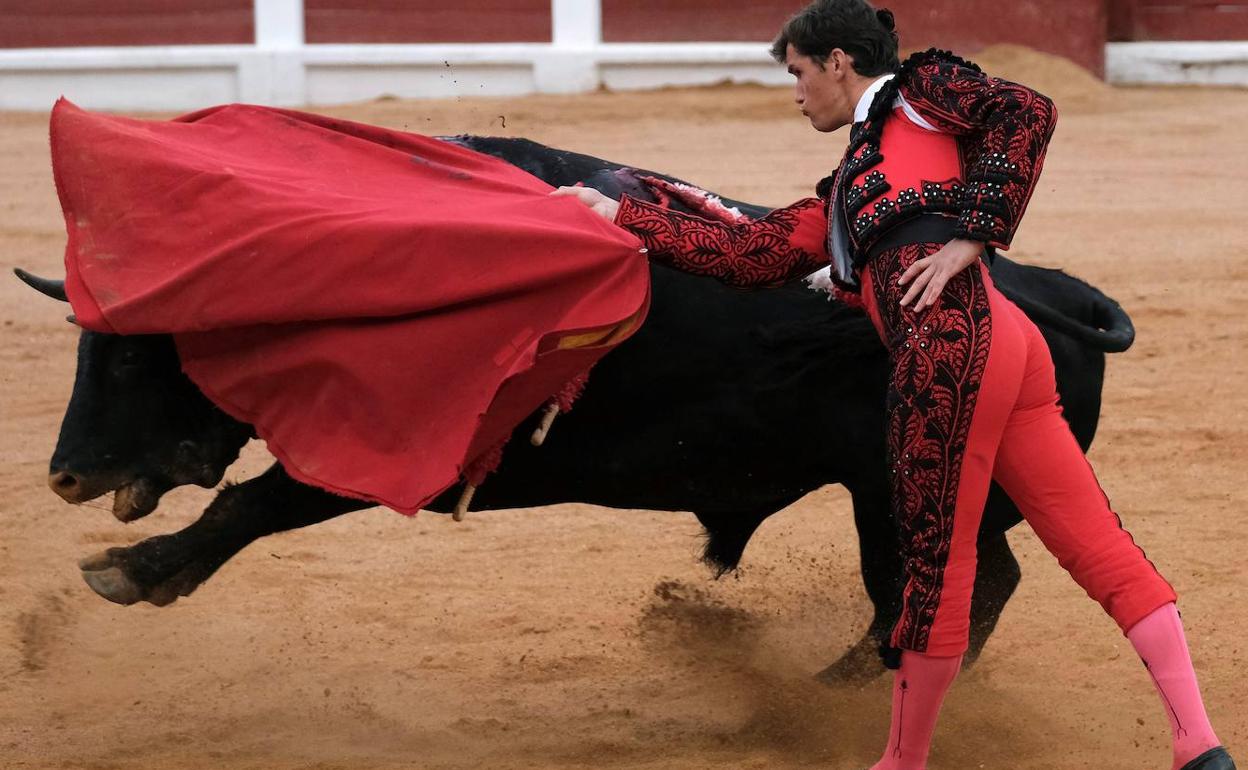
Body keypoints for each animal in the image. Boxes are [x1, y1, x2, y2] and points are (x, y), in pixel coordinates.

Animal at [14, 136, 1138, 678]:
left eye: (134, 354)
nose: (63, 475)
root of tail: (1058, 292)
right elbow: (256, 498)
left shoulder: (403, 446)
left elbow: (255, 499)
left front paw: (131, 572)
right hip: (894, 498)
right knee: (955, 587)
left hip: (912, 494)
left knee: (960, 586)